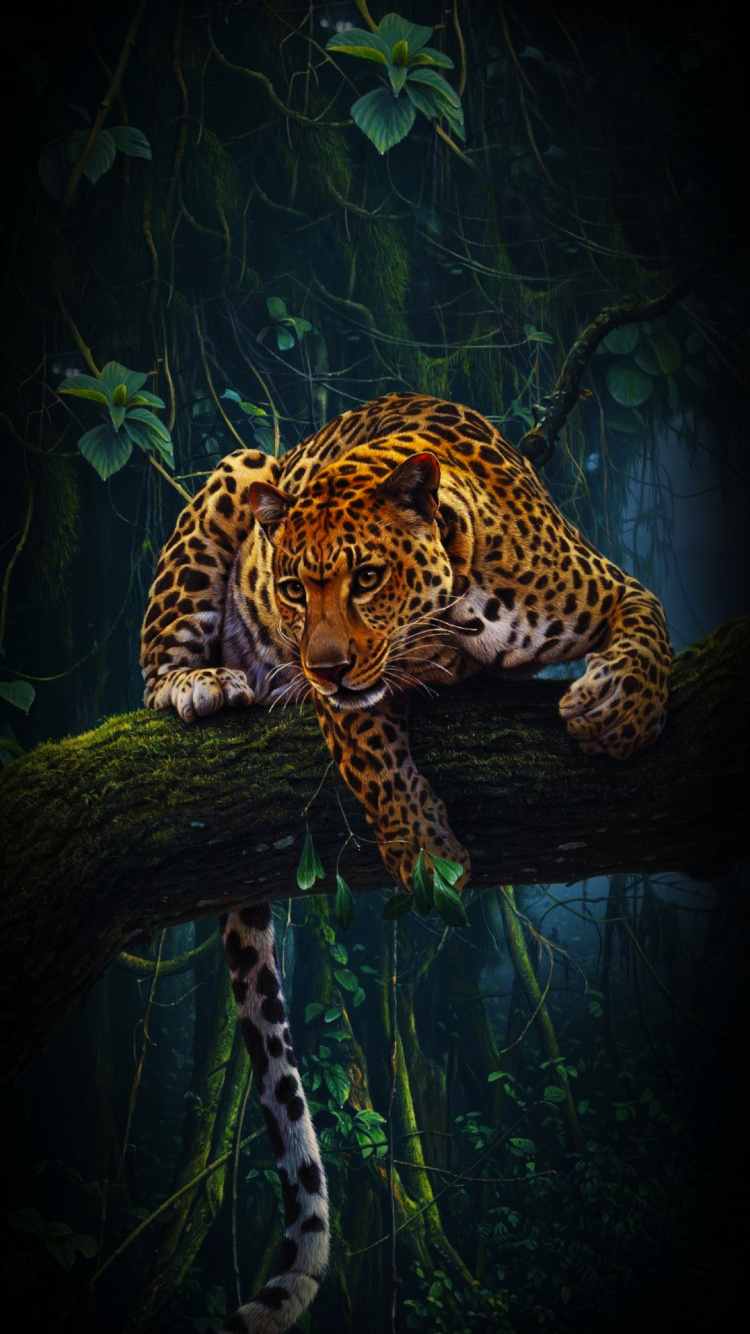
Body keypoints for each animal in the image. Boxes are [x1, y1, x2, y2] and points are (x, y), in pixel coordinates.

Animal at [140, 392, 672, 1332]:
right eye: (290, 587)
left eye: (365, 577)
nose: (320, 664)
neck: (464, 603)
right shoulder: (348, 700)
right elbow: (376, 760)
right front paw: (428, 857)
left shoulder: (608, 584)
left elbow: (651, 623)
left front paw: (619, 712)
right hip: (237, 471)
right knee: (149, 672)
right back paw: (202, 685)